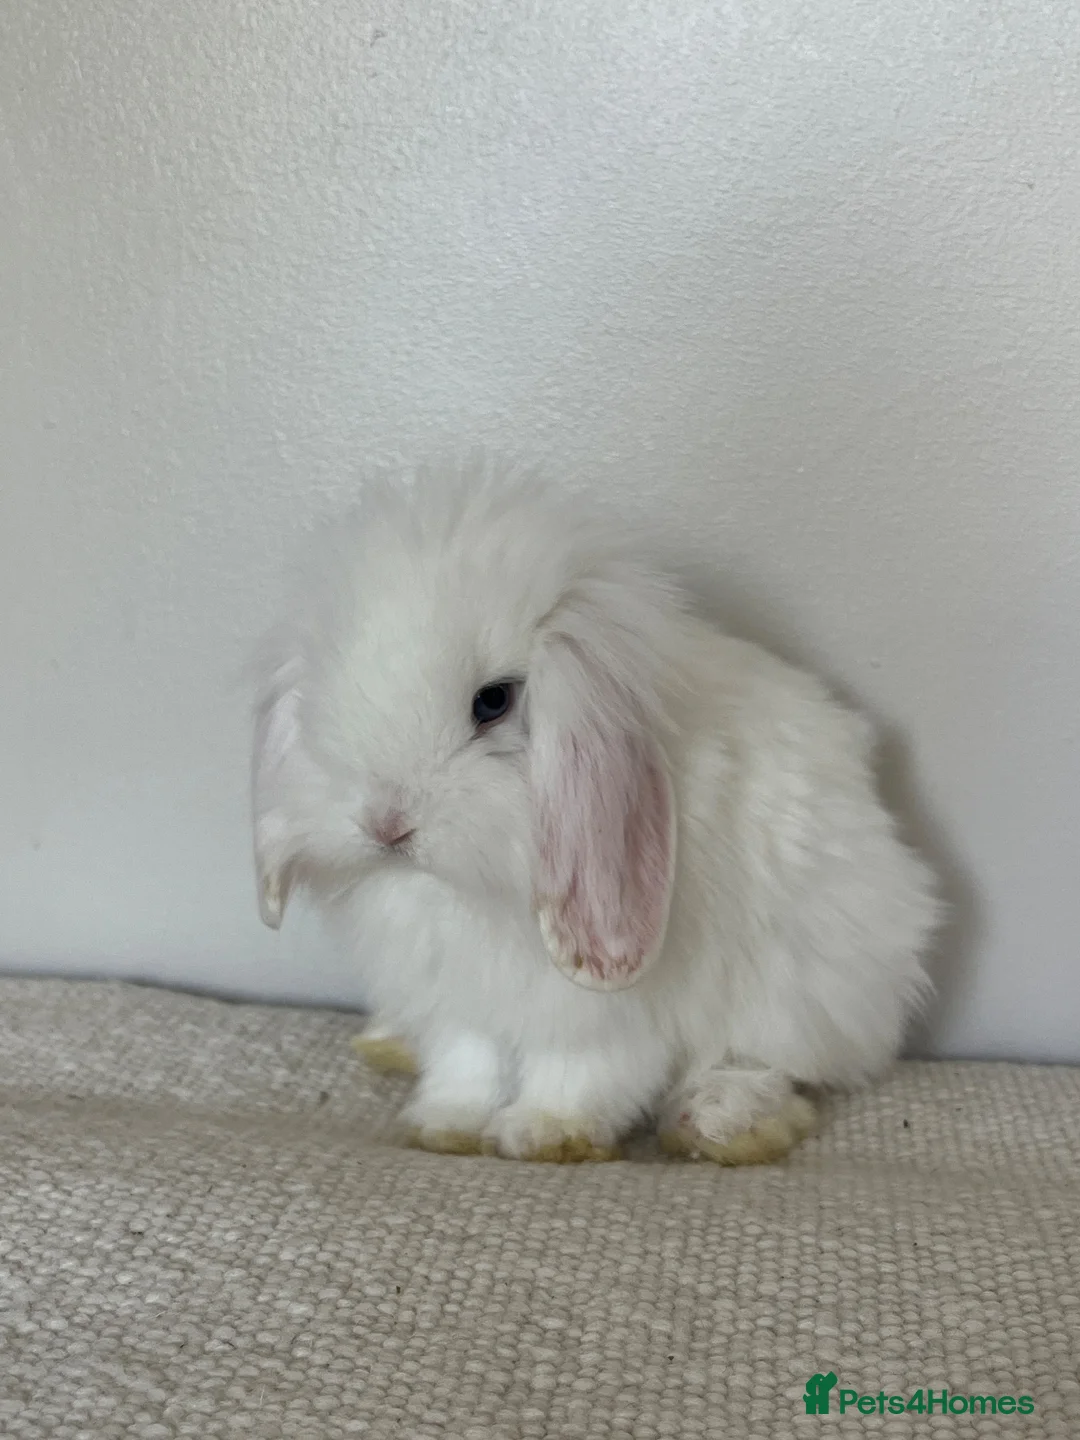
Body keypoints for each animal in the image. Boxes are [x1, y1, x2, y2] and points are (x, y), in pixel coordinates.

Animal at [252, 460, 940, 1164]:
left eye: (493, 702)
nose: (386, 825)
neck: (459, 892)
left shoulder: (598, 1013)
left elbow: (580, 1069)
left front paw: (547, 1134)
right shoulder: (461, 1001)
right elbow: (468, 1063)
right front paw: (445, 1126)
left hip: (802, 988)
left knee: (762, 1062)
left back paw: (721, 1124)